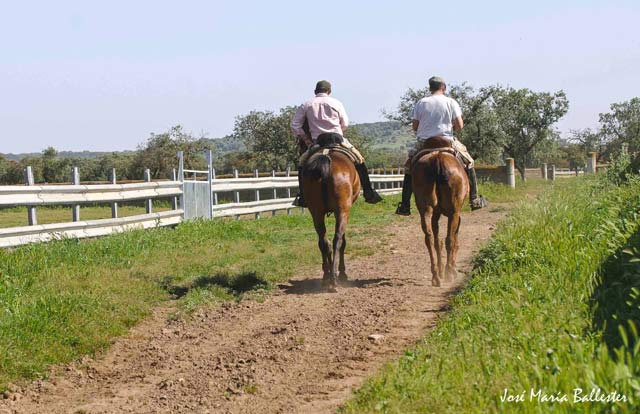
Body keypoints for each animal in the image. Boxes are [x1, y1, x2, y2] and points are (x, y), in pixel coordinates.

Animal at [304, 147, 360, 292]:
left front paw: (327, 274)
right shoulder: (343, 211)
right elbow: (343, 241)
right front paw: (342, 273)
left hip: (316, 213)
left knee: (324, 242)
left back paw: (328, 278)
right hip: (342, 211)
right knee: (337, 240)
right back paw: (334, 278)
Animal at [412, 137, 468, 286]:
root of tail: (437, 158)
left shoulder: (435, 215)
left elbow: (438, 241)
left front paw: (441, 269)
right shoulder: (456, 214)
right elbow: (453, 240)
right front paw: (451, 268)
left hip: (425, 209)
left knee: (429, 238)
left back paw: (436, 276)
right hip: (454, 212)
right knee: (450, 239)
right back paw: (449, 272)